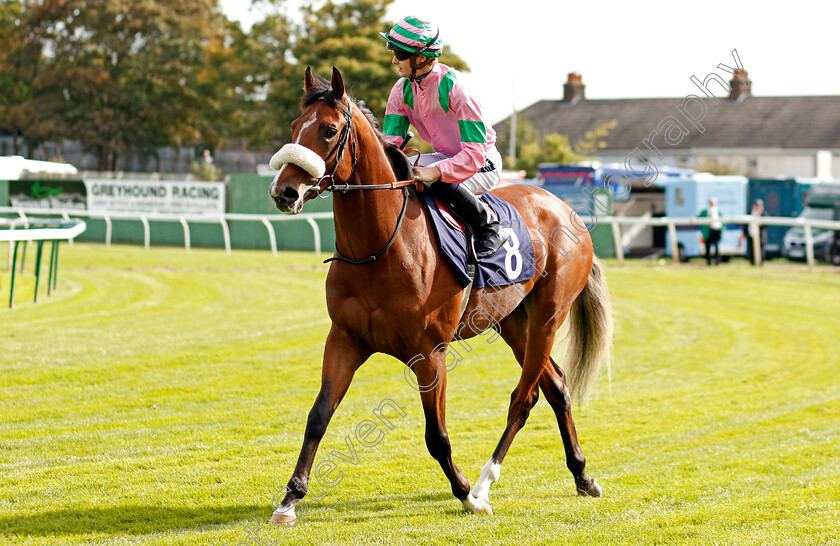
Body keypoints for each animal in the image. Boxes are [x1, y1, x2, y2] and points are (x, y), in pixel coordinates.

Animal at [268, 68, 612, 524]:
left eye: (328, 130)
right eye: (294, 126)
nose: (284, 191)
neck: (380, 248)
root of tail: (566, 209)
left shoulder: (430, 353)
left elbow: (437, 435)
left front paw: (466, 494)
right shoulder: (344, 339)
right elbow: (318, 416)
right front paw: (289, 499)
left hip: (548, 317)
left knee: (523, 398)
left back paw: (484, 484)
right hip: (512, 320)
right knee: (556, 387)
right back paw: (582, 475)